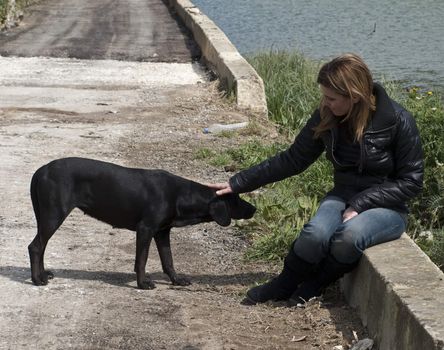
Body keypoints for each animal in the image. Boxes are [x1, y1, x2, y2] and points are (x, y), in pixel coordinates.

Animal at [27, 159, 255, 290]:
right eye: (236, 199)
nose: (253, 209)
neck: (179, 194)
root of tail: (41, 170)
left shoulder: (162, 232)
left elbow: (168, 260)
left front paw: (176, 280)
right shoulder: (146, 229)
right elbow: (142, 260)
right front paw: (142, 283)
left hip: (45, 217)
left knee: (41, 246)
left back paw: (43, 273)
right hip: (54, 215)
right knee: (35, 246)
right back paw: (37, 279)